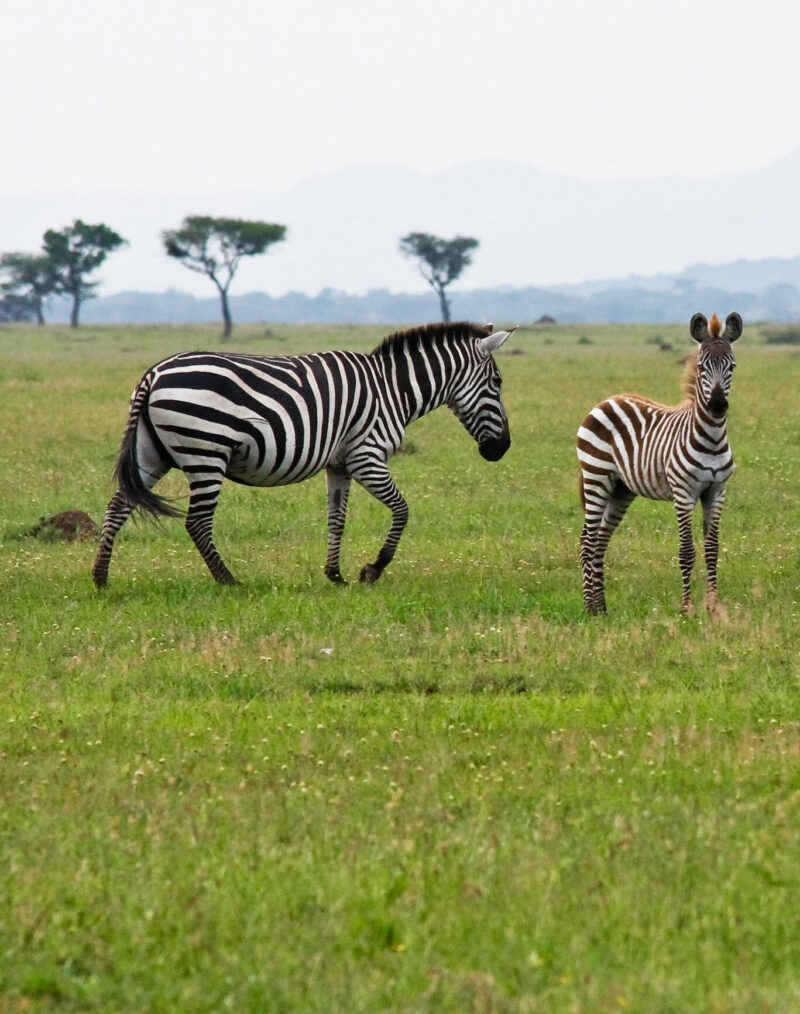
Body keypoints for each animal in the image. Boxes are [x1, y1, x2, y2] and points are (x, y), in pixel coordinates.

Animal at [92, 321, 513, 588]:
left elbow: (336, 519)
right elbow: (402, 510)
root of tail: (153, 374)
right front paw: (373, 570)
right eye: (497, 382)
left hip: (152, 453)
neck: (392, 390)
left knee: (118, 505)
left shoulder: (340, 464)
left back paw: (101, 577)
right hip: (205, 454)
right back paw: (228, 581)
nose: (501, 449)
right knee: (196, 522)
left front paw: (336, 575)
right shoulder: (366, 456)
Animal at [576, 311, 742, 618]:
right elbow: (687, 551)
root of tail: (608, 399)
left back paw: (602, 607)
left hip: (621, 489)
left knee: (600, 540)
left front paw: (713, 608)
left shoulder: (717, 491)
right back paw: (590, 607)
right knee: (588, 541)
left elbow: (712, 549)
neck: (711, 439)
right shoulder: (683, 493)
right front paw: (686, 609)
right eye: (701, 367)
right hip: (596, 476)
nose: (716, 406)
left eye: (732, 366)